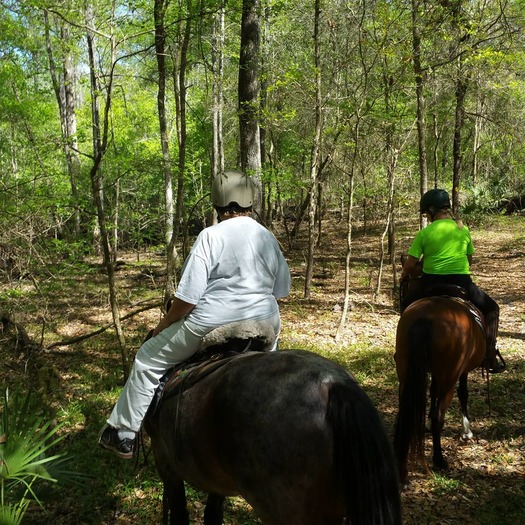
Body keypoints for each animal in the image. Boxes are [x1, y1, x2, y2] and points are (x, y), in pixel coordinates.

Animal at [390, 290, 486, 484]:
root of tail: (425, 318)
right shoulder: (462, 371)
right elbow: (463, 393)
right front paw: (467, 431)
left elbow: (433, 391)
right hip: (449, 377)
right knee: (438, 416)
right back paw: (439, 459)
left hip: (406, 375)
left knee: (407, 413)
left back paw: (403, 469)